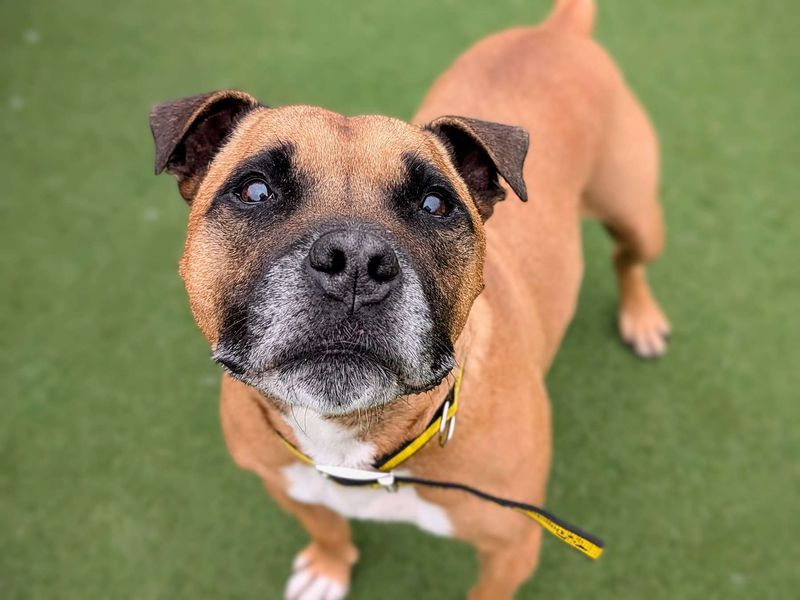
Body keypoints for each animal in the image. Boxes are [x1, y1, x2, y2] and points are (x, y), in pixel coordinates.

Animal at [148, 2, 668, 596]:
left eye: (435, 203)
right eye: (255, 190)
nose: (354, 261)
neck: (353, 445)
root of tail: (556, 30)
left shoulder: (512, 549)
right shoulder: (284, 483)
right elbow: (326, 525)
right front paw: (329, 565)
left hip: (635, 212)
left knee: (628, 257)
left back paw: (642, 317)